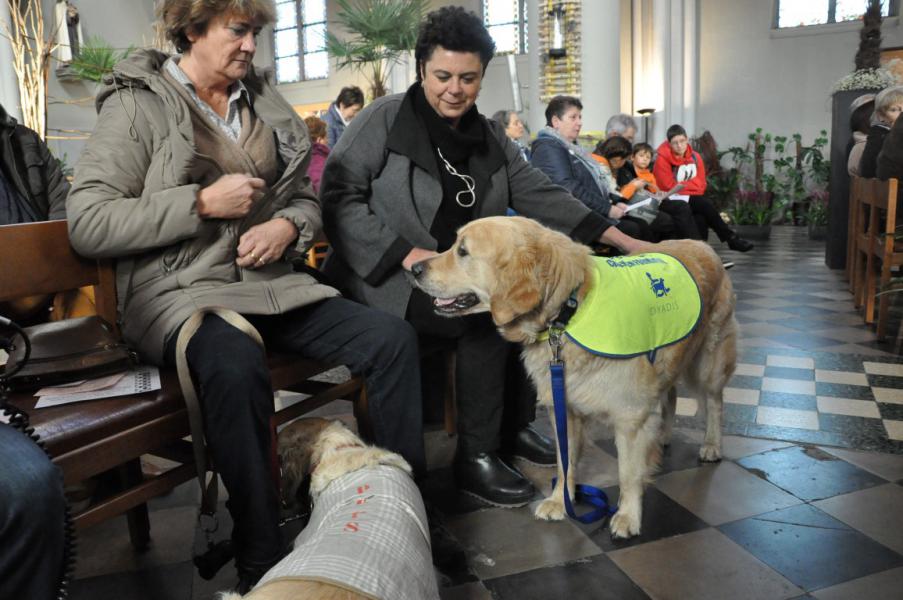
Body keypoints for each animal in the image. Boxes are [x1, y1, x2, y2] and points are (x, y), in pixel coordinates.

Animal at [414, 216, 740, 540]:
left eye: (463, 251)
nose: (415, 268)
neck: (568, 313)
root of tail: (702, 245)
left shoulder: (630, 416)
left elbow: (628, 472)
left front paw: (627, 516)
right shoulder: (565, 410)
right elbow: (565, 462)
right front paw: (561, 501)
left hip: (708, 363)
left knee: (714, 401)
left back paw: (712, 445)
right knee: (669, 395)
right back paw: (663, 435)